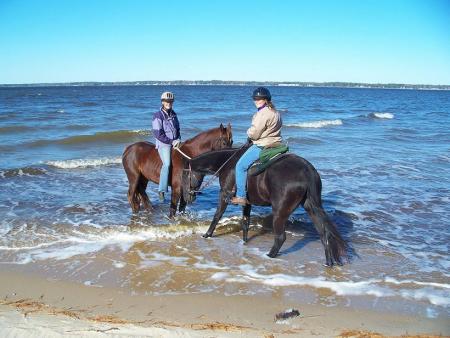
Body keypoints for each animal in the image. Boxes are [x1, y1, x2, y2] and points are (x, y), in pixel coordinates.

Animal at [181, 145, 346, 266]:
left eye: (184, 176)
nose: (187, 198)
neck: (227, 163)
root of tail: (307, 171)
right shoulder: (247, 202)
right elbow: (245, 222)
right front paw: (244, 242)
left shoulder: (224, 194)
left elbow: (217, 215)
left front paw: (207, 234)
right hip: (310, 207)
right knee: (324, 233)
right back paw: (328, 262)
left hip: (280, 212)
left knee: (280, 237)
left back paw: (270, 256)